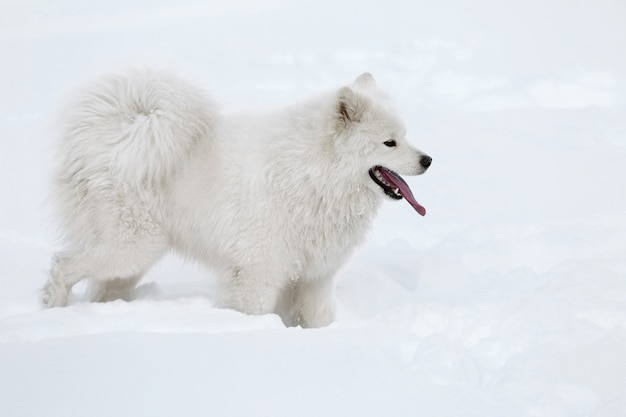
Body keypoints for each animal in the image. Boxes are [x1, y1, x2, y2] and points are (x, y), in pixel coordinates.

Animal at [42, 70, 428, 326]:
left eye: (406, 136)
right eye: (389, 143)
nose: (428, 160)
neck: (312, 170)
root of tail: (111, 133)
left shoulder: (314, 278)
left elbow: (316, 318)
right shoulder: (257, 272)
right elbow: (252, 311)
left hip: (133, 260)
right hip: (131, 247)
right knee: (62, 263)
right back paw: (52, 306)